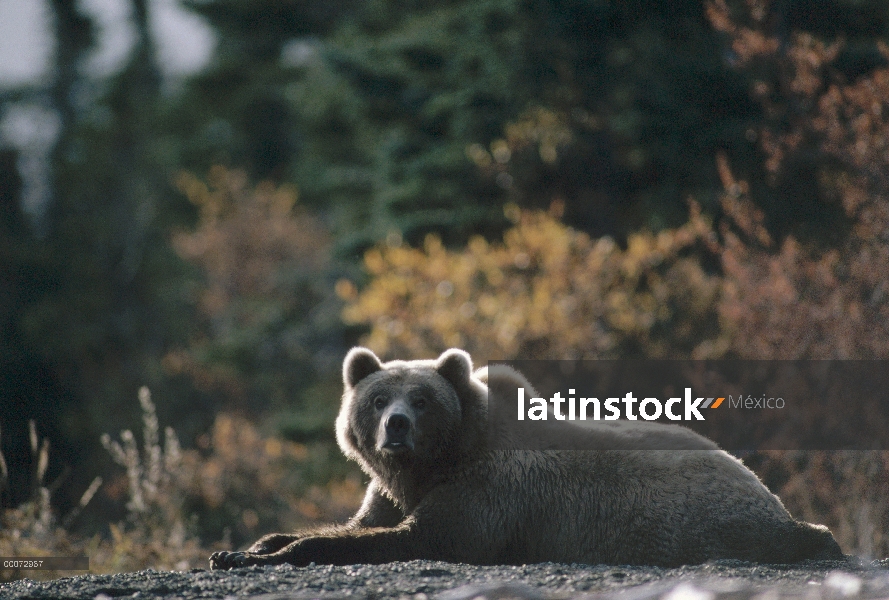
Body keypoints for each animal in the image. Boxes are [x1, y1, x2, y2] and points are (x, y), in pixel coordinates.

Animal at [208, 346, 840, 568]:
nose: (396, 428)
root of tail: (769, 493)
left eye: (421, 398)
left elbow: (424, 537)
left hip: (697, 518)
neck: (437, 462)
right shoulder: (391, 488)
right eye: (379, 396)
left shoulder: (489, 495)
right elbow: (358, 523)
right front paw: (251, 545)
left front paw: (257, 556)